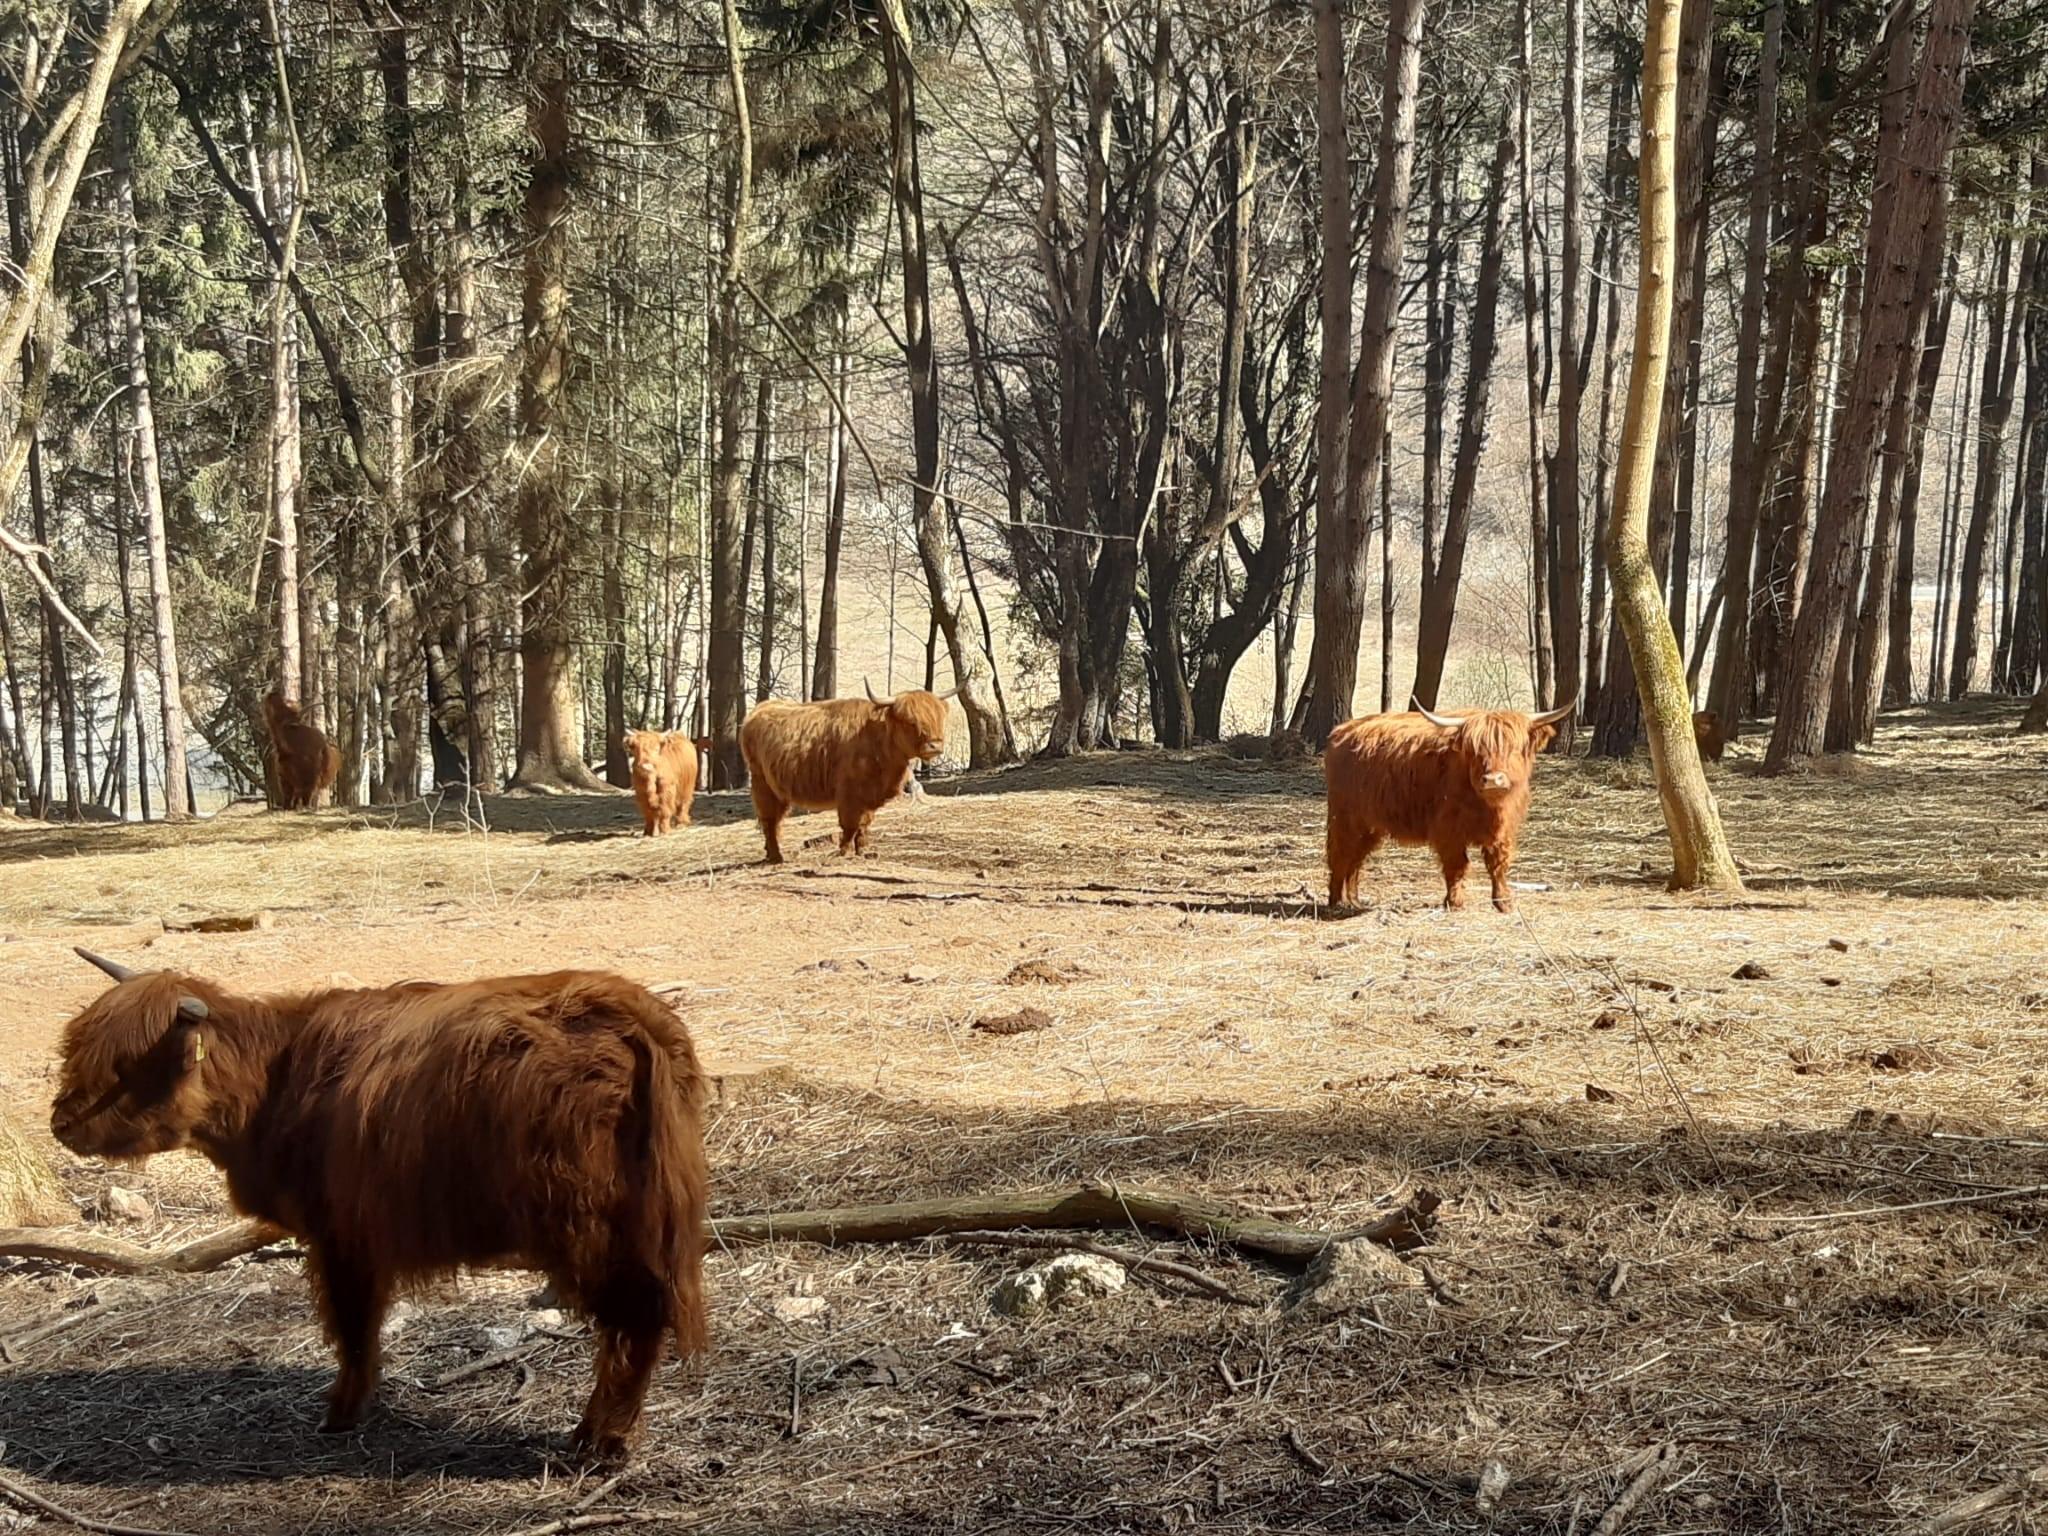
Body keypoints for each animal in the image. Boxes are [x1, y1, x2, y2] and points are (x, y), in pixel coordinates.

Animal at [48, 950, 708, 1466]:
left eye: (128, 1067)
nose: (60, 1123)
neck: (274, 1082)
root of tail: (629, 1013)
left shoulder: (340, 1235)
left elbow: (352, 1326)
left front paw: (341, 1413)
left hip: (588, 1227)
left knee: (635, 1317)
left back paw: (603, 1440)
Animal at [737, 684, 950, 868]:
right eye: (910, 721)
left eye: (939, 719)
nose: (935, 745)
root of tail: (759, 710)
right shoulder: (849, 795)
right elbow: (850, 825)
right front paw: (843, 852)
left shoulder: (868, 796)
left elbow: (863, 826)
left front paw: (862, 852)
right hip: (762, 783)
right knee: (769, 821)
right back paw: (776, 857)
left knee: (775, 821)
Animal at [1318, 696, 1572, 913]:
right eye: (1476, 751)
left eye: (1513, 749)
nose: (1493, 780)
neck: (1489, 809)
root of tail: (1342, 731)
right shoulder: (1449, 830)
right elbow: (1457, 864)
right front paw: (1455, 902)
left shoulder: (1504, 829)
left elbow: (1498, 864)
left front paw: (1504, 903)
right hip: (1345, 818)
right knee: (1340, 855)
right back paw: (1336, 902)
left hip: (1369, 826)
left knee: (1355, 860)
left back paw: (1354, 901)